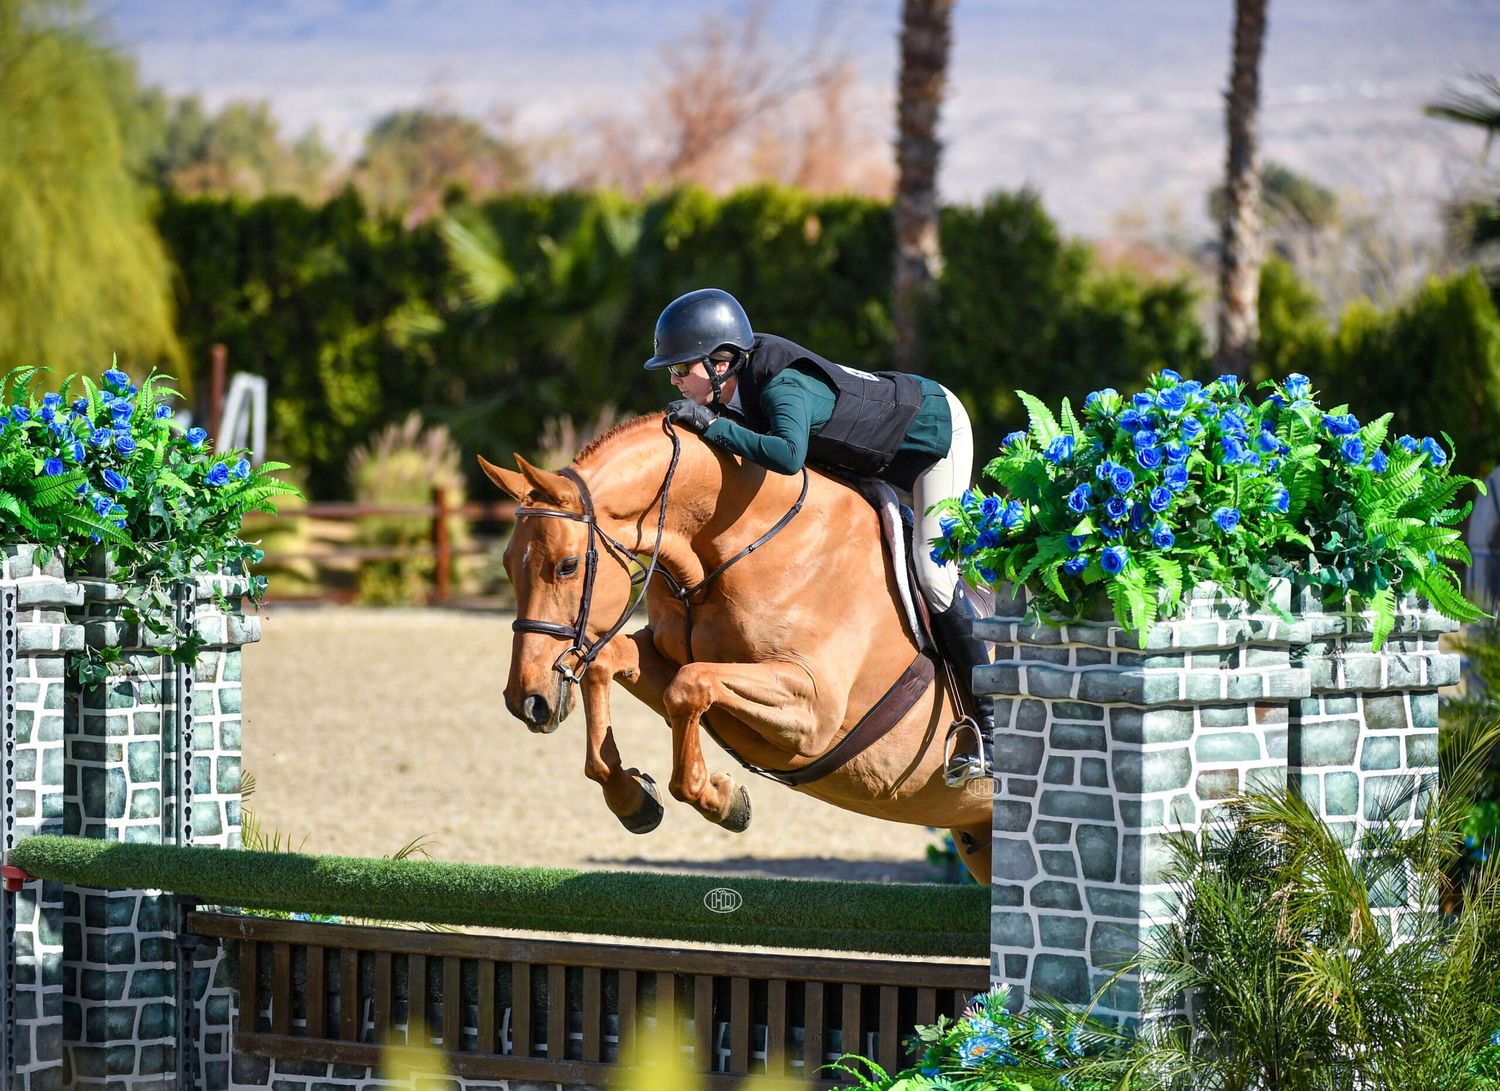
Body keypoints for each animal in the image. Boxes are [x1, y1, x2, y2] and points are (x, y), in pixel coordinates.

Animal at [480, 414, 993, 883]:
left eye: (566, 566)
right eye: (506, 565)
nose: (527, 701)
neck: (739, 541)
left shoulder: (813, 713)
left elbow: (689, 686)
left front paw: (722, 800)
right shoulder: (667, 657)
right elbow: (609, 662)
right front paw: (632, 798)